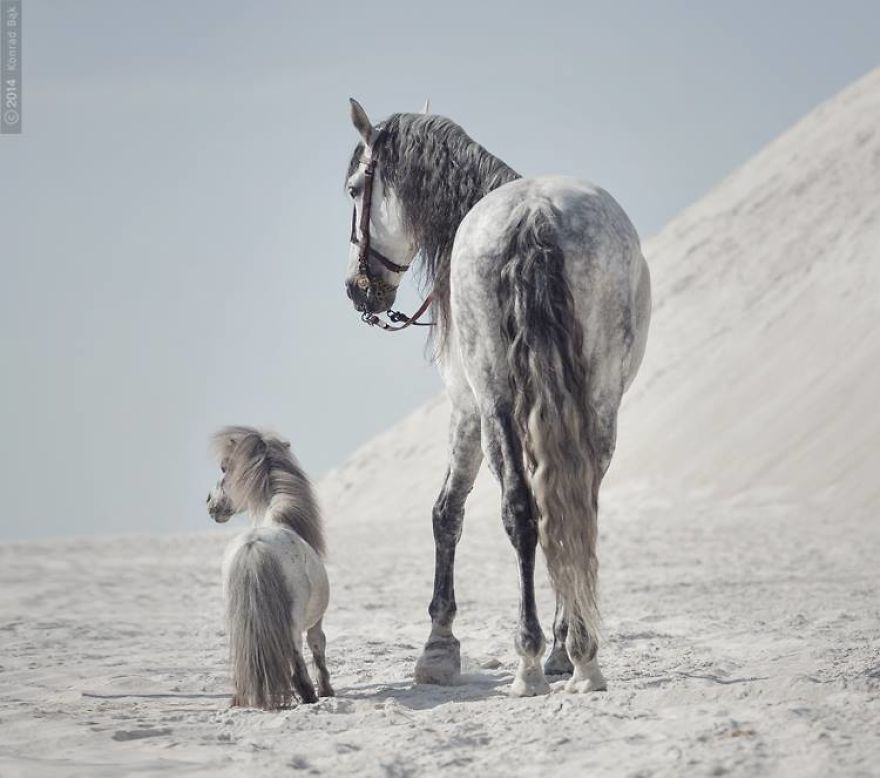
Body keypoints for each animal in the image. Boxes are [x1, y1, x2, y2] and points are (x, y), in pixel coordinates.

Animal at [206, 426, 334, 708]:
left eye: (224, 468)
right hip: (292, 625)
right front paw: (327, 690)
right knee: (298, 664)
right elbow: (318, 646)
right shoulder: (316, 621)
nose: (210, 503)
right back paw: (309, 697)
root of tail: (253, 547)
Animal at [343, 100, 651, 696]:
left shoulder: (466, 407)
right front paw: (563, 646)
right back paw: (581, 656)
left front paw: (439, 648)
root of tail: (535, 214)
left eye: (353, 189)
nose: (356, 288)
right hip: (601, 400)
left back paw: (530, 660)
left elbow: (446, 511)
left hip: (495, 398)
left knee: (521, 510)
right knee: (574, 504)